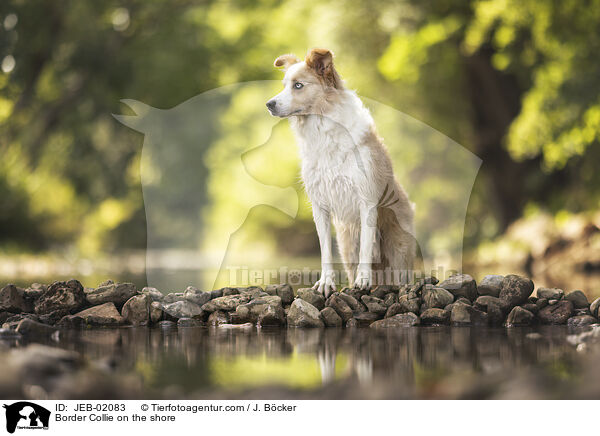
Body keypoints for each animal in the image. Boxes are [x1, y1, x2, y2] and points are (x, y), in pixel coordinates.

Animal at [268, 48, 418, 296]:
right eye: (283, 85)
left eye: (298, 85)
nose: (269, 104)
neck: (322, 128)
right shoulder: (319, 205)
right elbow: (324, 251)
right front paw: (325, 283)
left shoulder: (367, 200)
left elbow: (366, 248)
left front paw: (363, 281)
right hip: (347, 246)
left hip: (398, 249)